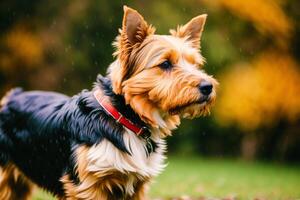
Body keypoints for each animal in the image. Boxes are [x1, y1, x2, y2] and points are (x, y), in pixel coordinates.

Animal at [0, 5, 216, 199]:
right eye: (165, 64)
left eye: (195, 65)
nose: (208, 86)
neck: (126, 118)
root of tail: (11, 96)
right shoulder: (88, 185)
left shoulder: (137, 186)